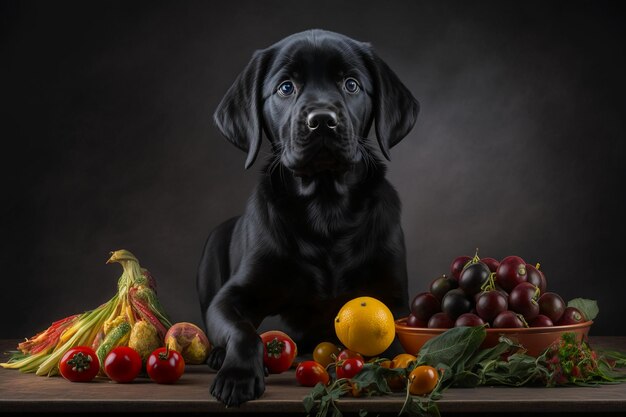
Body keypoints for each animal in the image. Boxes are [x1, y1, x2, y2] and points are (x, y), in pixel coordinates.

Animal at [197, 28, 416, 404]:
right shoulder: (231, 296)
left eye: (351, 84)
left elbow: (395, 337)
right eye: (286, 87)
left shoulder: (394, 297)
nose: (323, 121)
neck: (326, 210)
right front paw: (238, 375)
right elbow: (243, 331)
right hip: (210, 253)